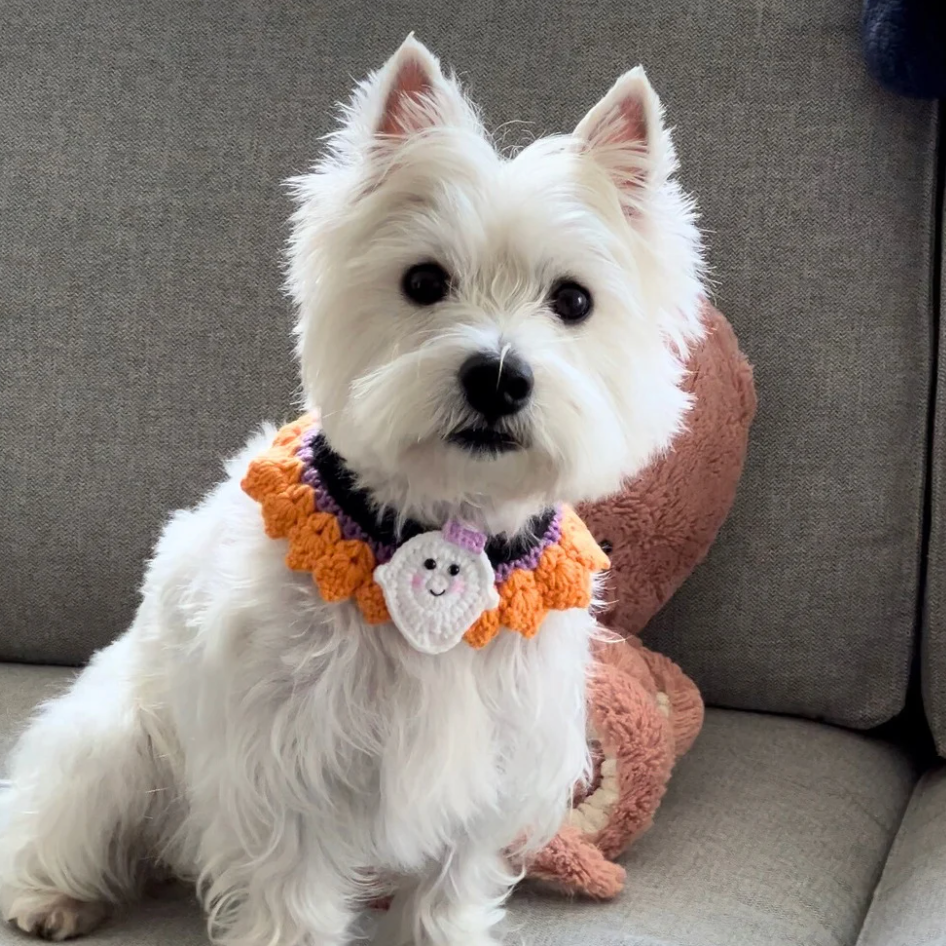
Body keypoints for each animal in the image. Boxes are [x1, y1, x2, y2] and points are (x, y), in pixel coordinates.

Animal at [0, 37, 700, 944]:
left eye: (574, 299)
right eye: (424, 282)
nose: (498, 377)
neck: (442, 522)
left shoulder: (492, 764)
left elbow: (451, 887)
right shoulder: (288, 764)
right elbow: (293, 896)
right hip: (115, 744)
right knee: (50, 824)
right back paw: (54, 900)